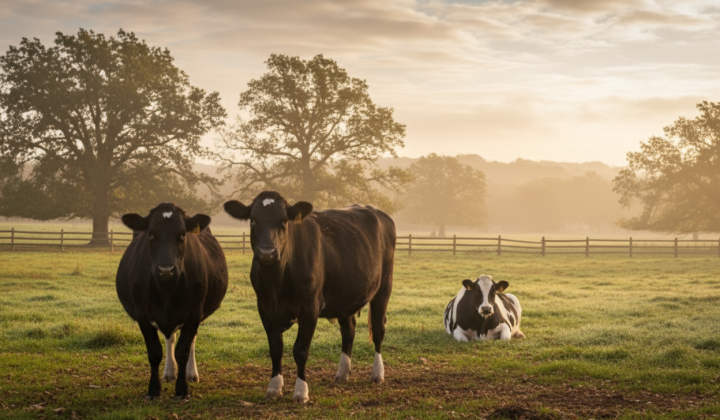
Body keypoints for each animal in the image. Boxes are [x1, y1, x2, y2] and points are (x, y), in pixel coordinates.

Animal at [116, 203, 228, 400]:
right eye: (151, 234)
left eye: (183, 234)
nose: (166, 269)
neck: (167, 291)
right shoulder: (142, 314)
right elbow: (154, 353)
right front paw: (154, 390)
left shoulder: (194, 313)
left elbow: (183, 351)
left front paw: (182, 389)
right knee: (170, 339)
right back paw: (169, 372)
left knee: (189, 341)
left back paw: (191, 373)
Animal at [224, 191, 395, 404]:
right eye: (253, 220)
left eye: (284, 221)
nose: (266, 252)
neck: (276, 283)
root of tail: (376, 211)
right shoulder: (264, 307)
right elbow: (275, 348)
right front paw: (274, 388)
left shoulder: (310, 307)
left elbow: (301, 350)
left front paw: (301, 392)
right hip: (345, 295)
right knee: (349, 331)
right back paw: (342, 373)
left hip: (384, 286)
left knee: (379, 329)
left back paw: (378, 374)